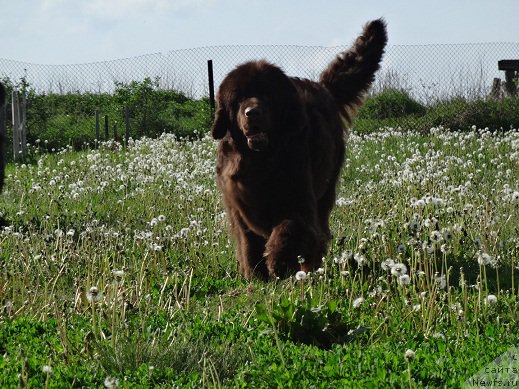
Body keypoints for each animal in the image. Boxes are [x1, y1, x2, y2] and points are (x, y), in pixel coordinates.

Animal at [213, 19, 388, 278]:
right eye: (239, 98)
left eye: (267, 95)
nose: (252, 112)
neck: (259, 161)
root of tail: (322, 87)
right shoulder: (237, 205)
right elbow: (248, 242)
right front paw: (255, 274)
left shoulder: (298, 198)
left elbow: (290, 228)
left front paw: (279, 262)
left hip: (326, 189)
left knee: (320, 231)